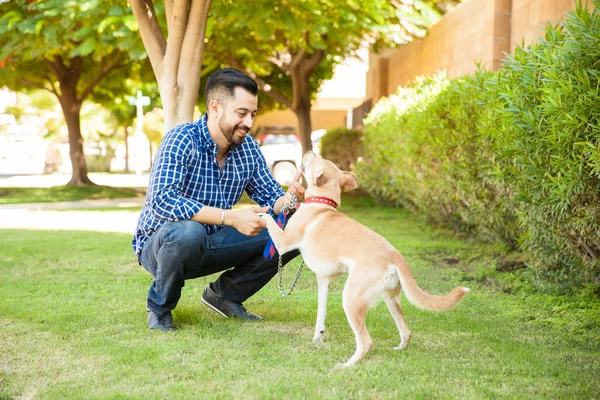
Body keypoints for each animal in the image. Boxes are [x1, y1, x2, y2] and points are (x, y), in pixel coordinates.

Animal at [262, 152, 468, 368]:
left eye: (314, 159)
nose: (309, 152)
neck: (322, 203)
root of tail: (394, 255)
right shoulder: (324, 281)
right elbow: (320, 315)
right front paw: (317, 339)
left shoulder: (283, 243)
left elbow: (268, 220)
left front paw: (259, 212)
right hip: (391, 299)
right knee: (406, 331)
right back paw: (399, 349)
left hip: (351, 299)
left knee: (366, 342)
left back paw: (347, 365)